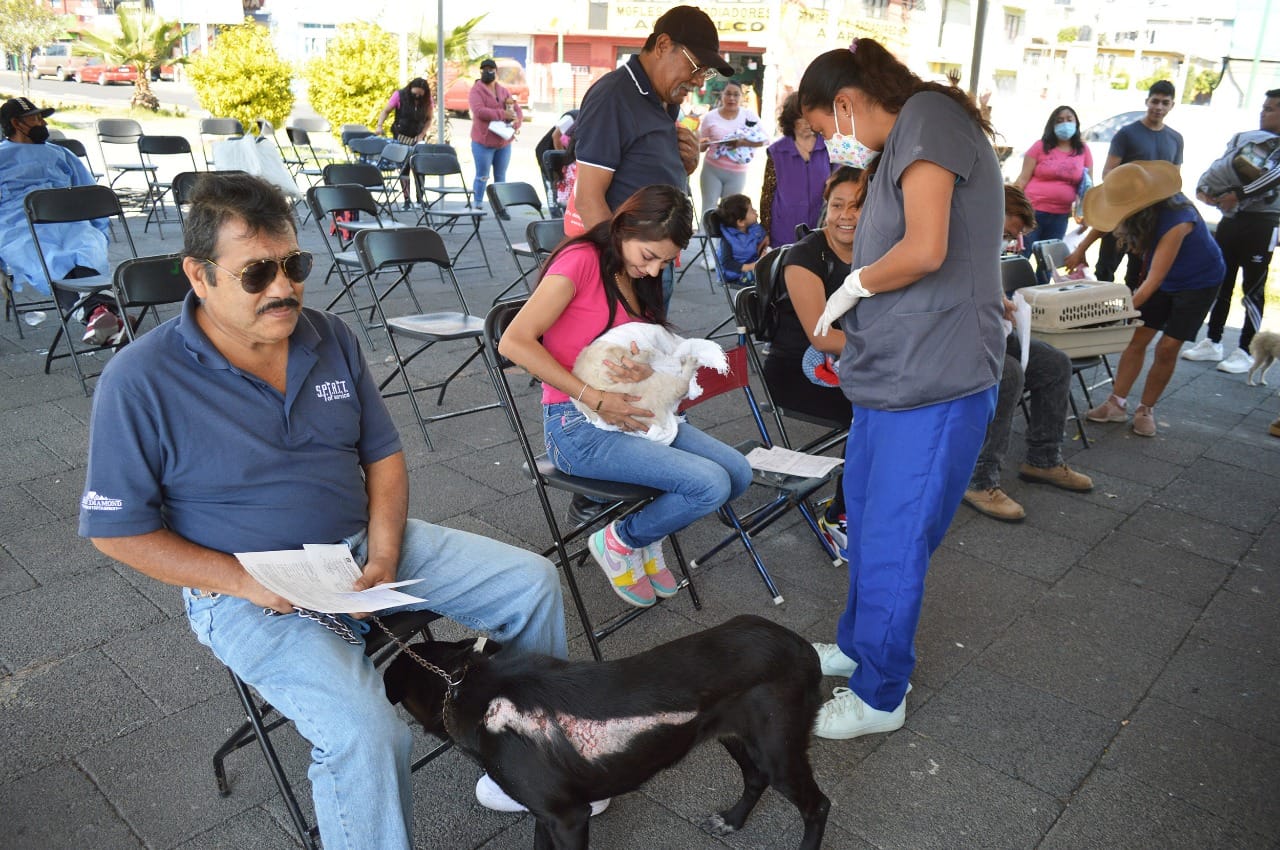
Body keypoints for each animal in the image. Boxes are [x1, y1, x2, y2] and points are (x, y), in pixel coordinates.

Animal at [381, 614, 829, 844]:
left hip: (778, 750)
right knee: (754, 777)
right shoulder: (546, 815)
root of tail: (803, 646)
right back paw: (732, 821)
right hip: (735, 735)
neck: (468, 683)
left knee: (817, 806)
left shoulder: (568, 818)